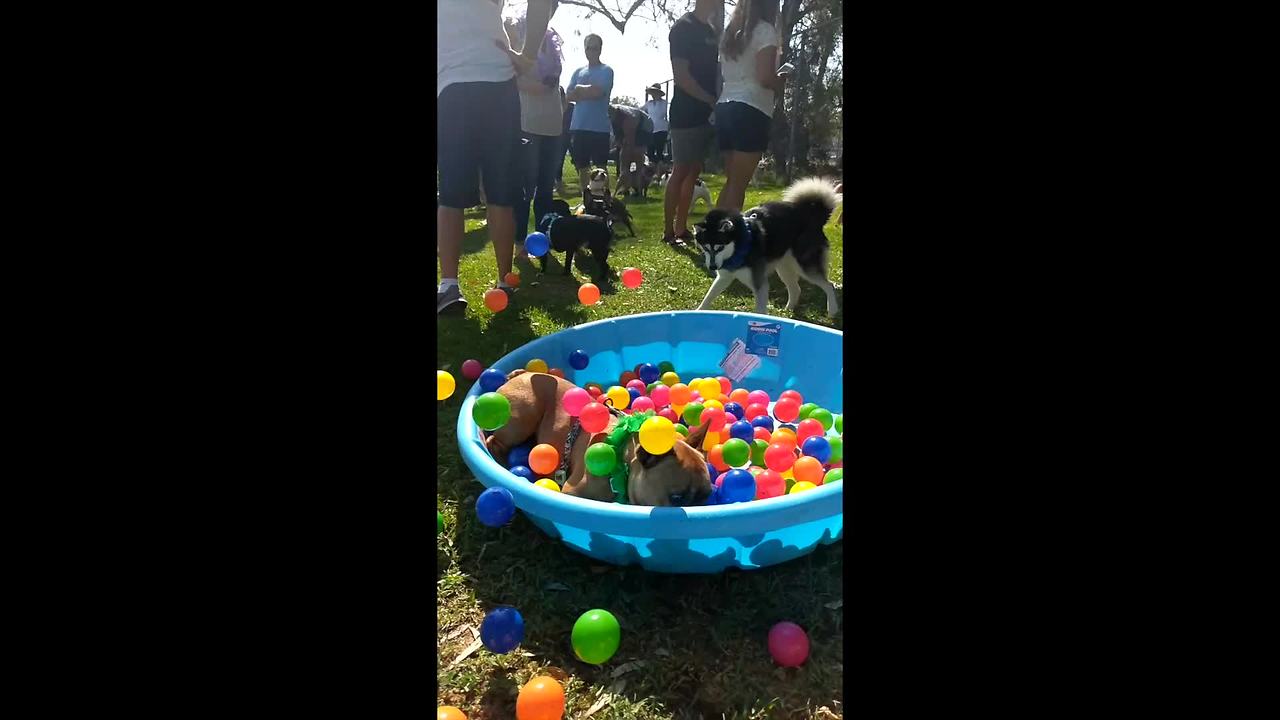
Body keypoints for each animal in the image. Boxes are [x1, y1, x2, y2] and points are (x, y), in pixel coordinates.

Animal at [483, 368, 716, 504]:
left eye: (708, 495)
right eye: (676, 498)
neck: (623, 461)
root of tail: (521, 374)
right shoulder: (572, 492)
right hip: (523, 418)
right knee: (494, 442)